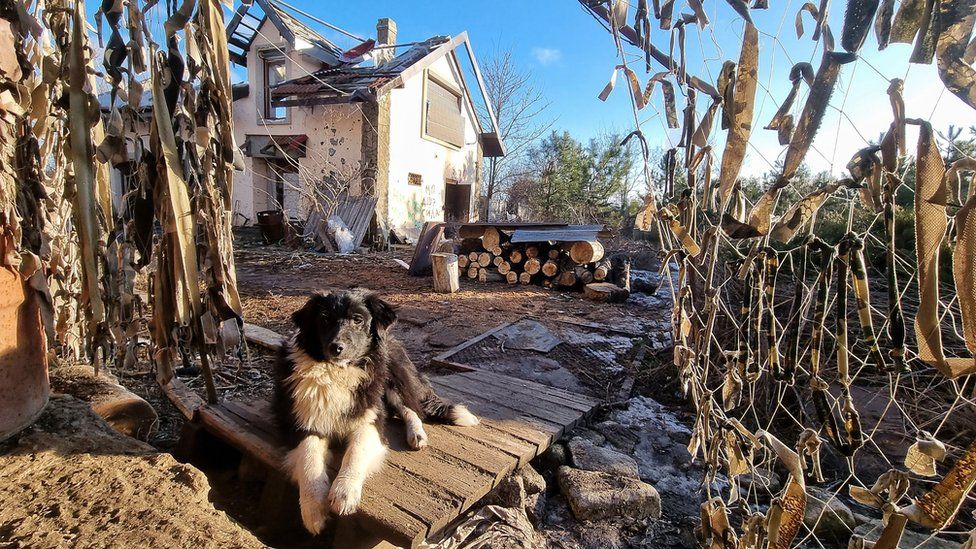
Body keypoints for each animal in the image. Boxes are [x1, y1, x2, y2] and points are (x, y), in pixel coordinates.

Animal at [274, 288, 480, 532]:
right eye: (324, 319)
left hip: (391, 378)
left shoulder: (370, 420)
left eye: (358, 320)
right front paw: (314, 509)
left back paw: (417, 434)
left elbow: (356, 452)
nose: (336, 348)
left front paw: (344, 493)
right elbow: (309, 458)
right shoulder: (301, 422)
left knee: (410, 408)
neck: (339, 372)